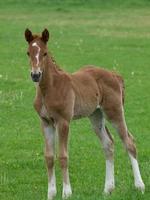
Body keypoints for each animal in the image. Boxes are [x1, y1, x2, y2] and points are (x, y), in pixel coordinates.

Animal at [24, 28, 145, 199]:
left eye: (45, 53)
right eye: (28, 53)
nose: (35, 75)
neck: (50, 89)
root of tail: (115, 75)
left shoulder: (63, 121)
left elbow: (63, 156)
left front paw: (67, 192)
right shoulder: (45, 122)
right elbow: (49, 157)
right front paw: (51, 193)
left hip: (114, 112)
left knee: (129, 142)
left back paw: (139, 186)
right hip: (96, 115)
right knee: (108, 144)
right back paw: (108, 189)